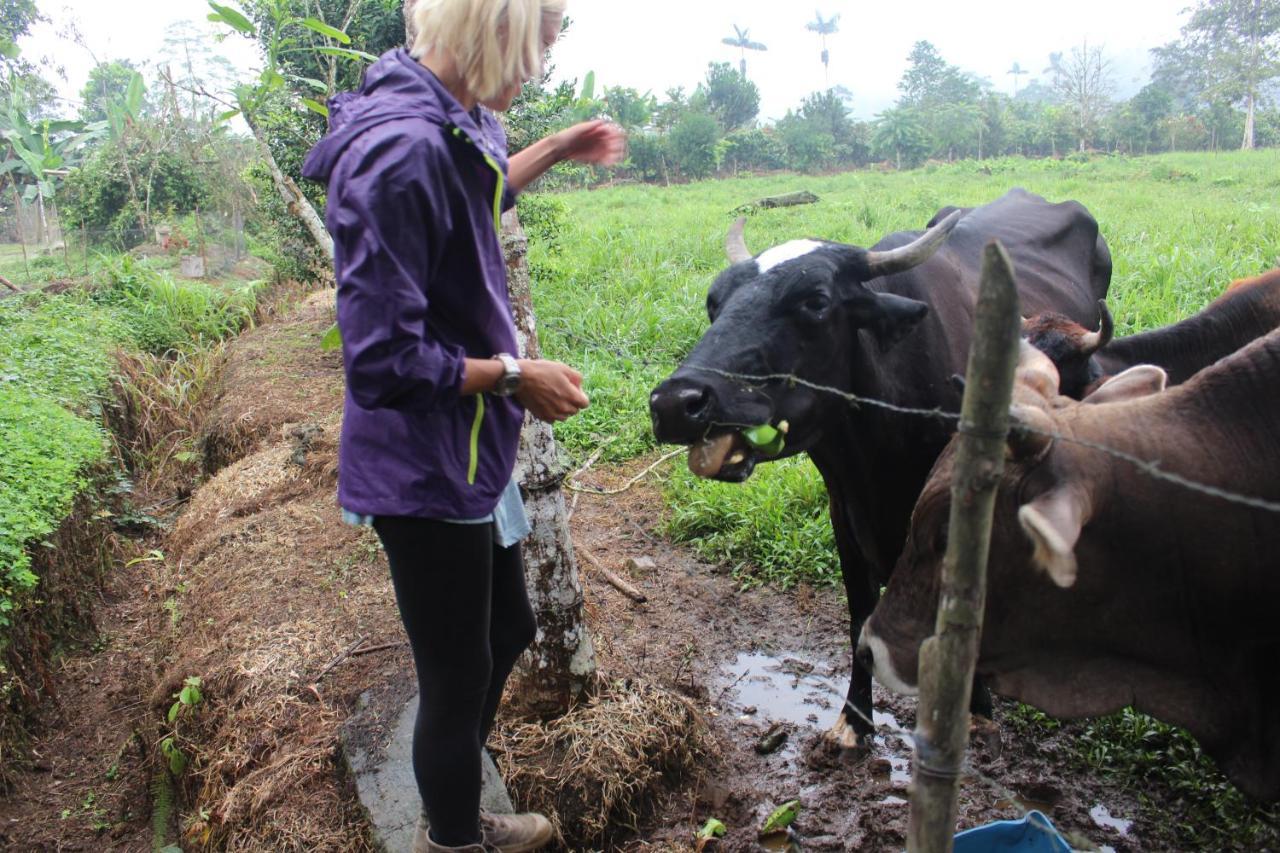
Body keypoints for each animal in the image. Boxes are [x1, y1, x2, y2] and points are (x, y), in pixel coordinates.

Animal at [650, 189, 1111, 747]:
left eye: (816, 302)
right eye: (714, 302)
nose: (676, 403)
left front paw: (975, 706)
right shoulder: (844, 515)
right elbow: (859, 617)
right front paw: (855, 718)